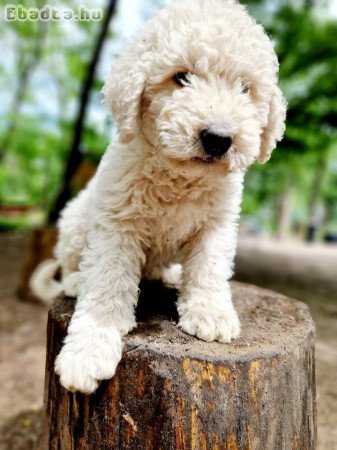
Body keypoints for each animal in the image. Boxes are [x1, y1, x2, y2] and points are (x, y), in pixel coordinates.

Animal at [32, 0, 284, 392]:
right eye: (180, 77)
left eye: (245, 88)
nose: (218, 138)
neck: (179, 177)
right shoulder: (116, 223)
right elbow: (105, 285)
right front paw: (87, 352)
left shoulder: (217, 224)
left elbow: (210, 269)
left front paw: (210, 313)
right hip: (74, 222)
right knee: (73, 263)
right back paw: (74, 281)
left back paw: (170, 275)